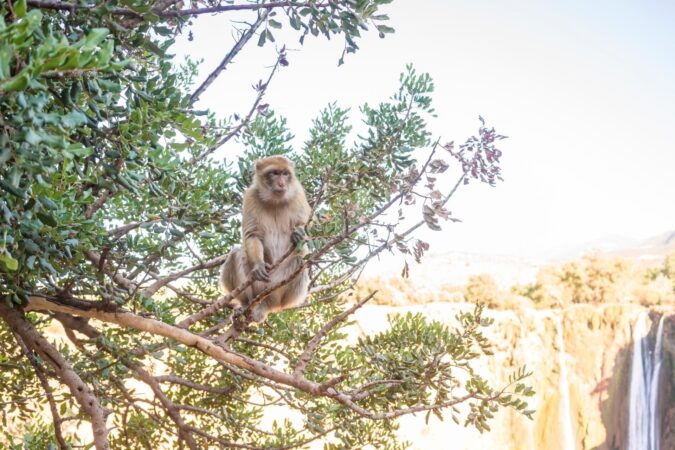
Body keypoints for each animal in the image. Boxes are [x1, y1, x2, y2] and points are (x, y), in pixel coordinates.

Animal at [219, 156, 312, 322]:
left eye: (285, 173)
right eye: (274, 173)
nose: (281, 183)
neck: (275, 200)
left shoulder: (298, 193)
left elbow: (308, 227)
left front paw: (298, 233)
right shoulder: (250, 196)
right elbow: (252, 234)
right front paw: (258, 265)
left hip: (279, 292)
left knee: (300, 261)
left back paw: (267, 305)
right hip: (255, 288)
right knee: (236, 253)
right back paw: (244, 304)